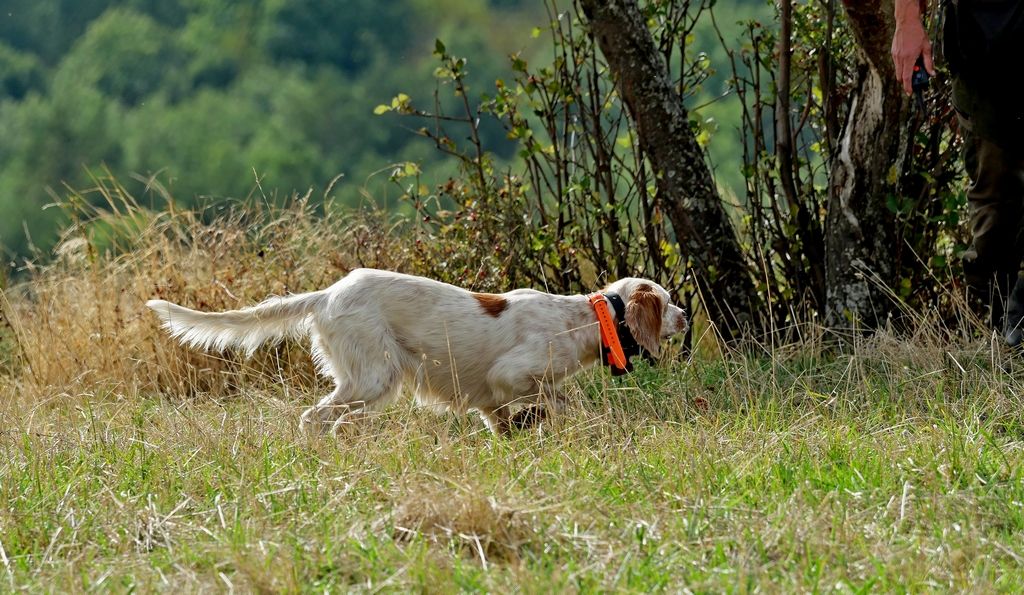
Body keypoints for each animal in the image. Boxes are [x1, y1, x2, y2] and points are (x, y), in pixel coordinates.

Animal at [146, 268, 688, 432]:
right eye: (665, 301)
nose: (686, 316)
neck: (583, 319)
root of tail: (327, 294)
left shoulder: (490, 401)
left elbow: (509, 422)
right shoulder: (513, 376)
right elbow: (558, 400)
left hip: (368, 385)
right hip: (373, 378)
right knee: (314, 418)